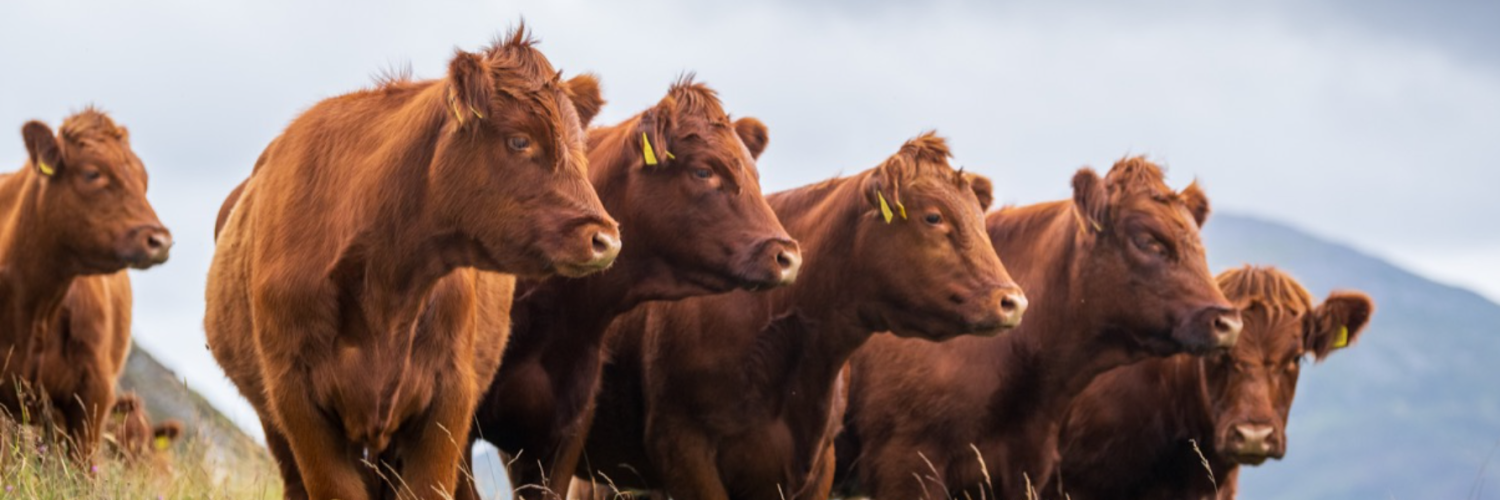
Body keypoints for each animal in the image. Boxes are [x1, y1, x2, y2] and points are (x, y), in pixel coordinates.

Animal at [204, 27, 619, 500]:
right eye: (519, 140)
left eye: (580, 147)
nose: (606, 239)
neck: (387, 286)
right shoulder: (295, 400)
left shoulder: (450, 398)